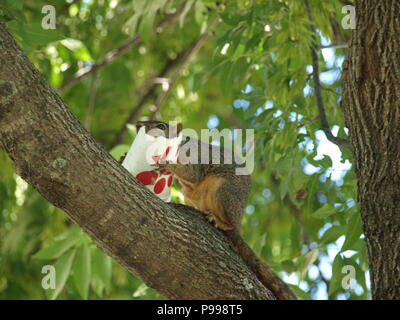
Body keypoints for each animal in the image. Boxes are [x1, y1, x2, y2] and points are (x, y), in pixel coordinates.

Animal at [122, 120, 296, 300]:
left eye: (162, 127)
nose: (138, 125)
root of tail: (238, 223)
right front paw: (124, 156)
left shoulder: (194, 157)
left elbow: (191, 174)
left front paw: (166, 163)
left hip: (223, 191)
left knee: (228, 223)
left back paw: (217, 220)